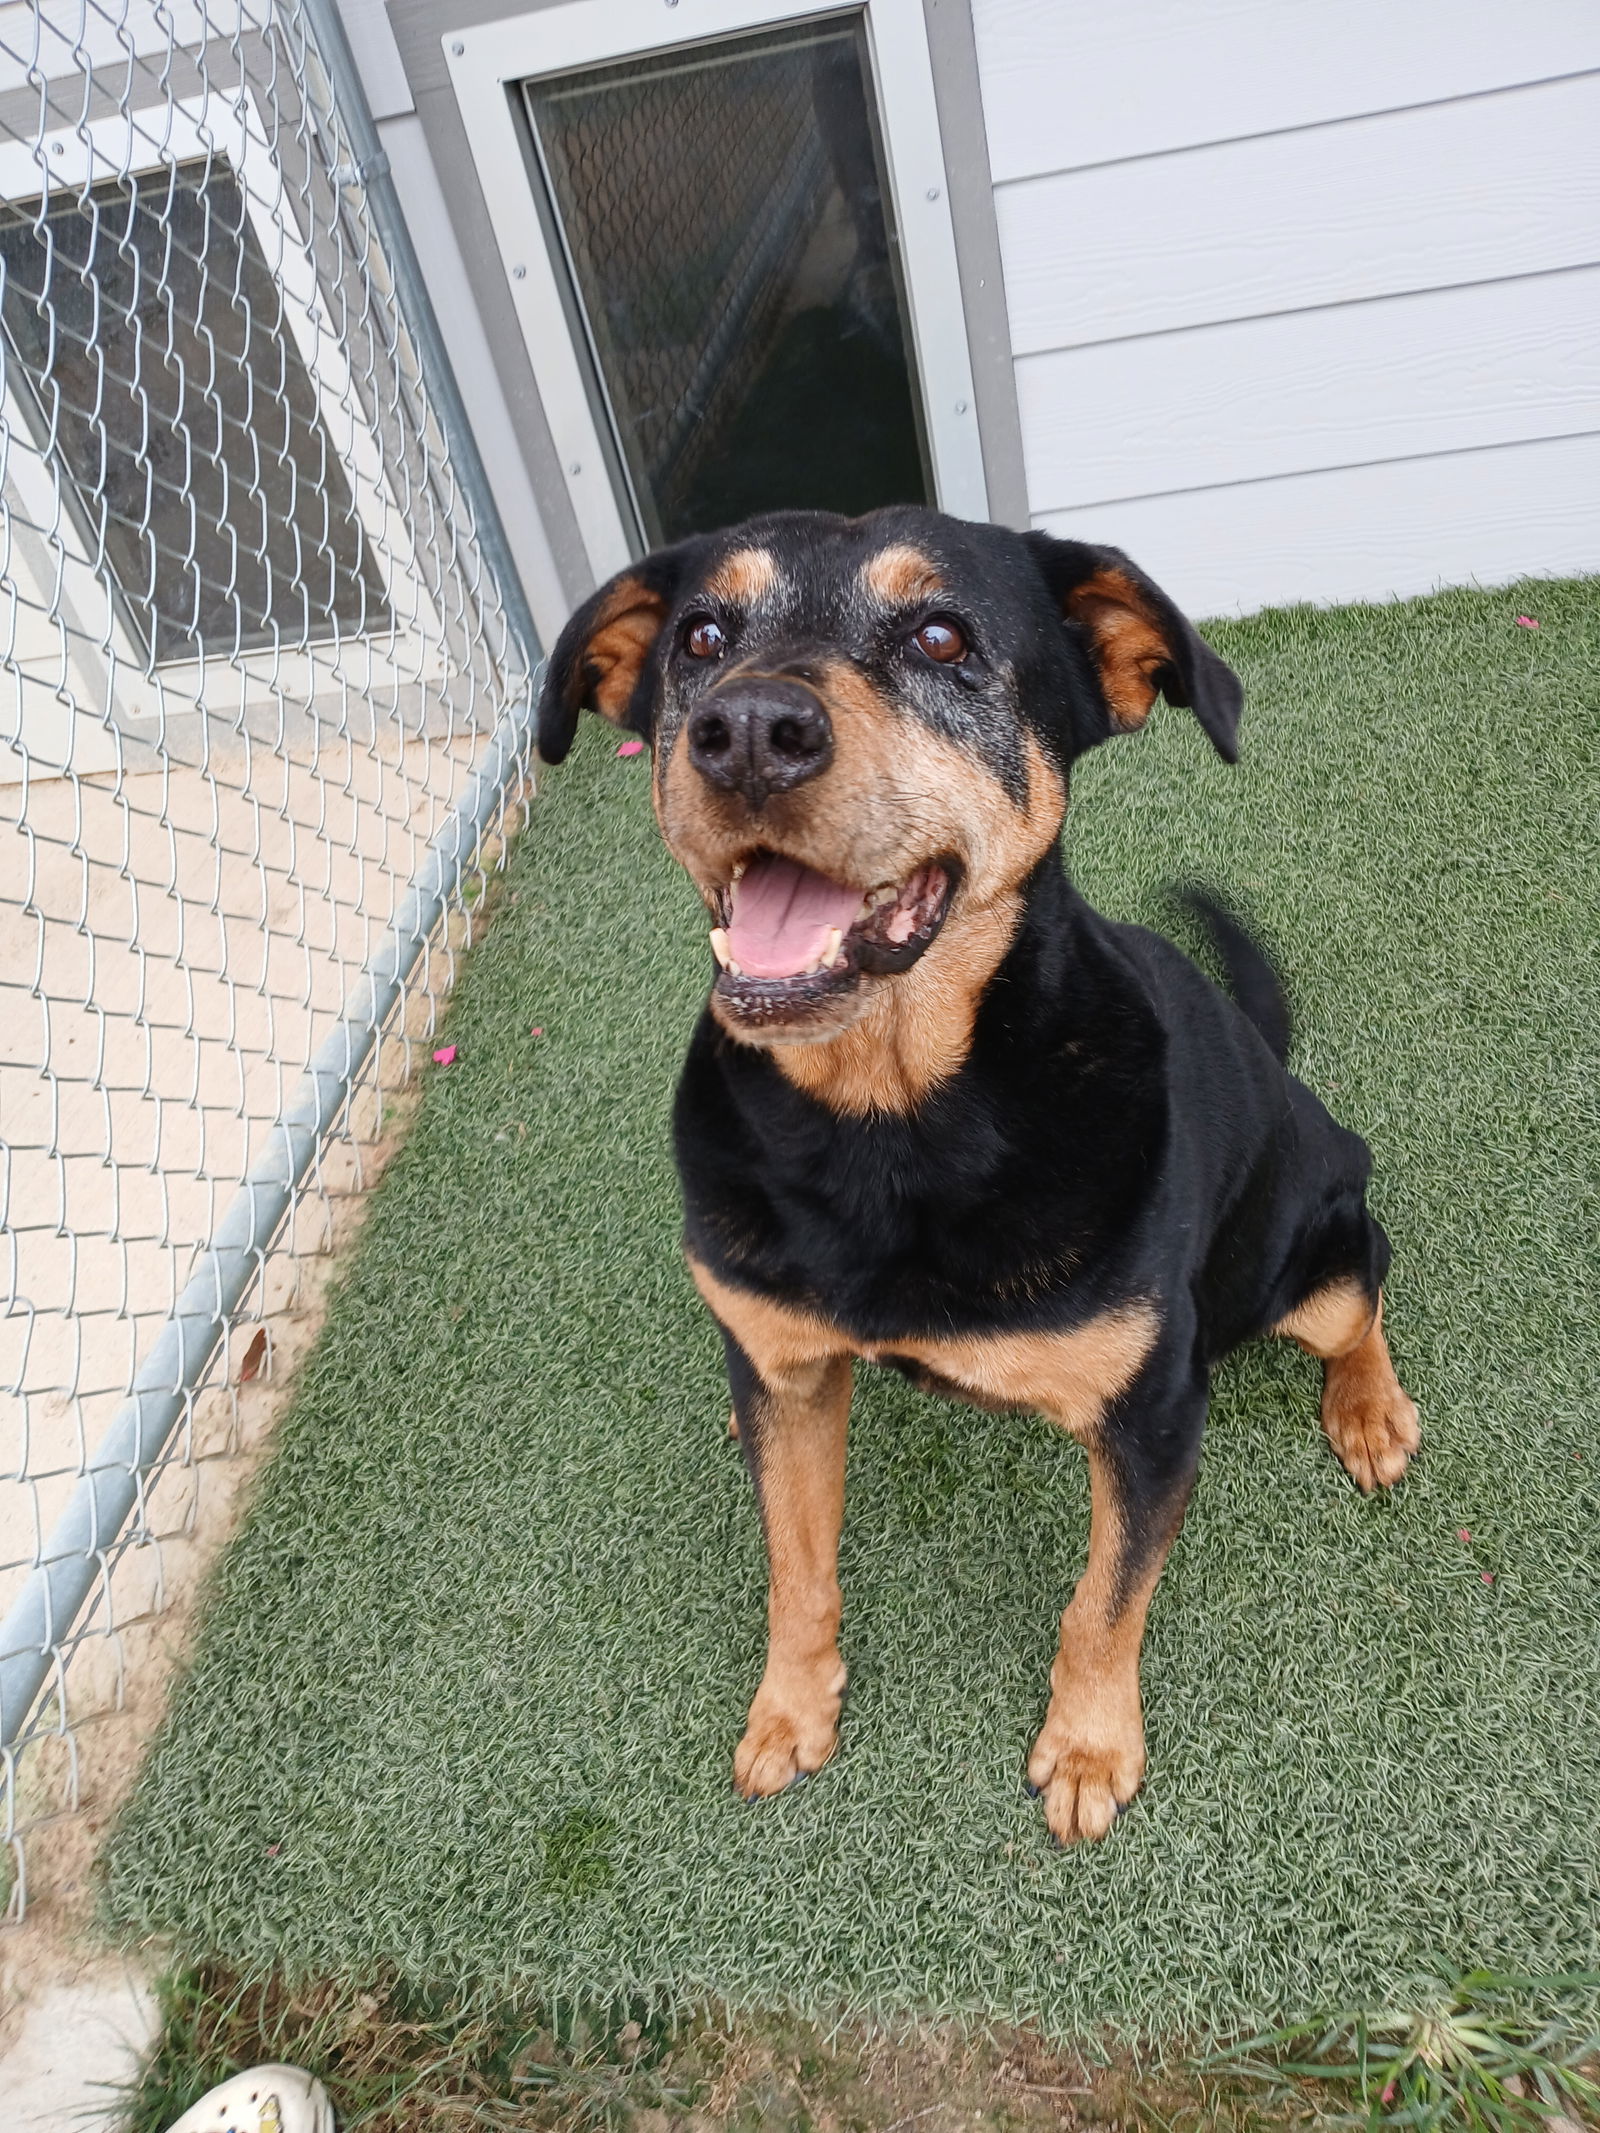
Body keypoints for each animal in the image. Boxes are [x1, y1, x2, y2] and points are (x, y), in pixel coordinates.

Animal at [541, 507, 1425, 1842]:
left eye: (941, 636)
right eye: (699, 635)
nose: (745, 732)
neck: (888, 1121)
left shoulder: (1153, 1414)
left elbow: (1102, 1603)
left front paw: (1088, 1749)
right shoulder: (781, 1368)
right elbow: (796, 1568)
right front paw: (790, 1712)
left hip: (1303, 1247)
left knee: (1362, 1285)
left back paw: (1368, 1409)